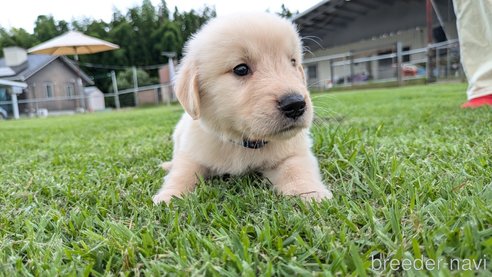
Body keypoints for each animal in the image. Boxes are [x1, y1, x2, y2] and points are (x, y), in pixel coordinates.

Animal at [152, 12, 332, 203]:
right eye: (241, 69)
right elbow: (183, 172)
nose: (295, 104)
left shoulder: (293, 151)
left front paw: (311, 193)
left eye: (292, 62)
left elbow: (296, 169)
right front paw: (169, 196)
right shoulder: (193, 150)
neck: (243, 141)